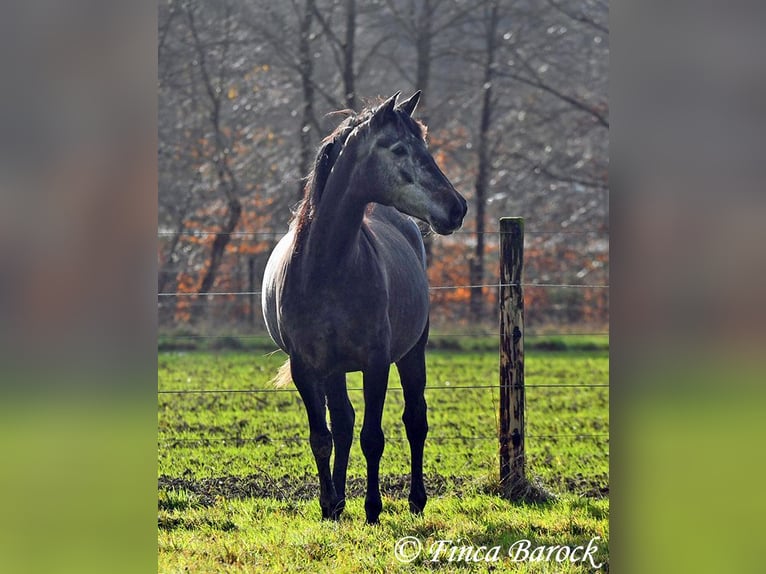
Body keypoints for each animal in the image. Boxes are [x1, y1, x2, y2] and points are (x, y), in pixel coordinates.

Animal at [262, 91, 468, 528]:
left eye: (425, 144)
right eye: (399, 148)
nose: (457, 207)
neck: (326, 268)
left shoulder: (377, 363)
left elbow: (373, 438)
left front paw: (373, 509)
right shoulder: (307, 368)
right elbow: (322, 437)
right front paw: (328, 506)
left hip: (412, 354)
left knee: (415, 420)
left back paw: (415, 500)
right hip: (335, 369)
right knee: (342, 423)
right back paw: (339, 502)